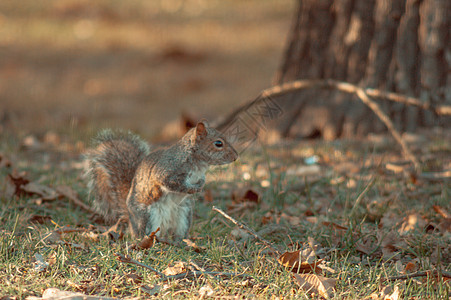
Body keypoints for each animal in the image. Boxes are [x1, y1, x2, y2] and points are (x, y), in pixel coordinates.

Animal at [85, 120, 240, 240]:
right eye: (218, 143)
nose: (235, 157)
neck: (198, 164)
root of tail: (130, 221)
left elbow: (201, 180)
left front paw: (201, 185)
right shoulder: (166, 172)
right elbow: (173, 184)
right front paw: (192, 189)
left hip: (184, 215)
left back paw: (180, 242)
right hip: (148, 216)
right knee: (144, 234)